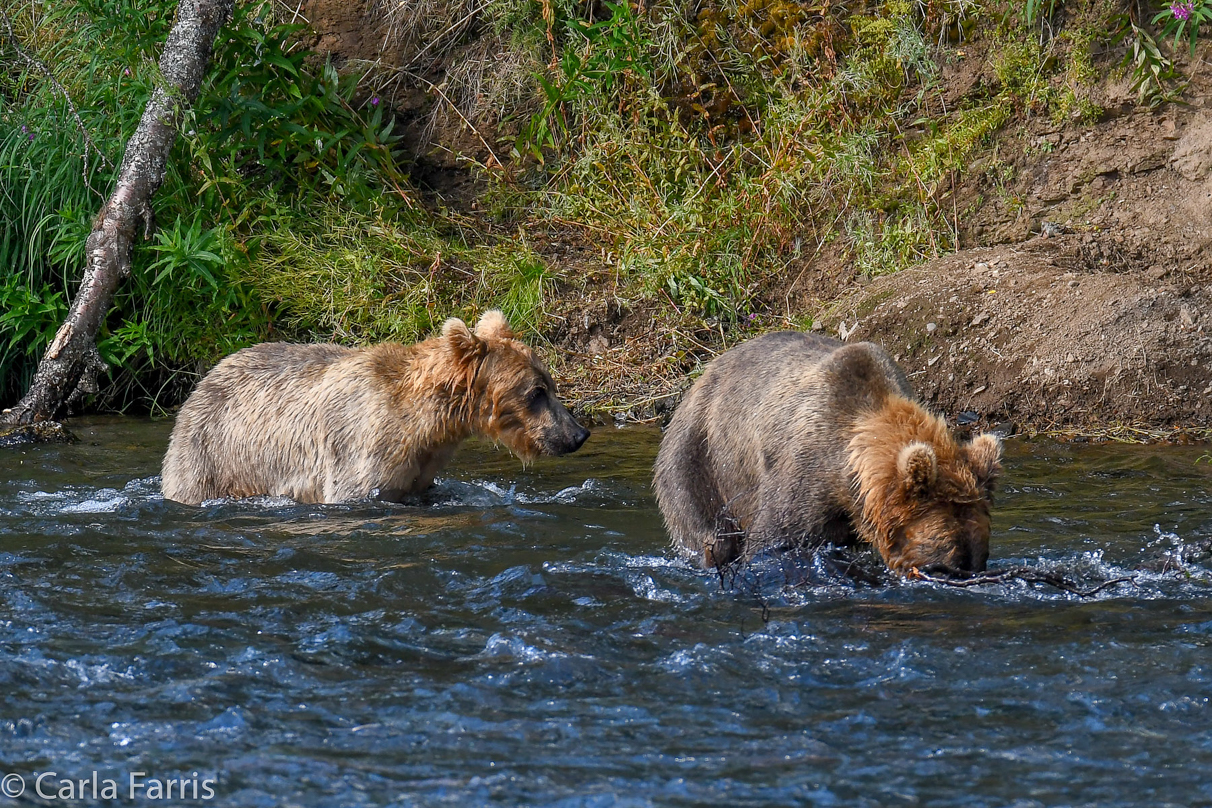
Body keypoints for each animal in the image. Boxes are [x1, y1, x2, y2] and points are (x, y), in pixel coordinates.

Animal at [159, 312, 586, 506]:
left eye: (551, 383)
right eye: (536, 392)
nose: (578, 433)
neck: (426, 423)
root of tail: (203, 381)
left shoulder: (420, 469)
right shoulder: (361, 450)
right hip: (212, 454)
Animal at [654, 329, 1003, 574]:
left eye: (981, 555)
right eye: (945, 556)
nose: (968, 572)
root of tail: (704, 373)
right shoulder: (802, 476)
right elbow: (774, 542)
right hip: (697, 457)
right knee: (709, 534)